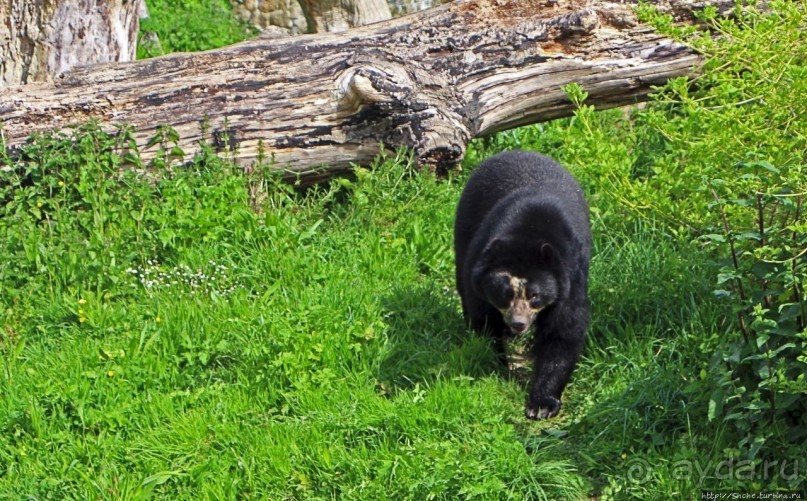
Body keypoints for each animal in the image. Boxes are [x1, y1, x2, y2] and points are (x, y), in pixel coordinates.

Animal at [454, 150, 592, 420]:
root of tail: (515, 152)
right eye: (504, 294)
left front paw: (542, 405)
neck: (528, 232)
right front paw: (497, 367)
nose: (518, 323)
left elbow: (563, 332)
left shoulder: (570, 277)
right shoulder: (478, 268)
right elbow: (484, 320)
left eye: (535, 296)